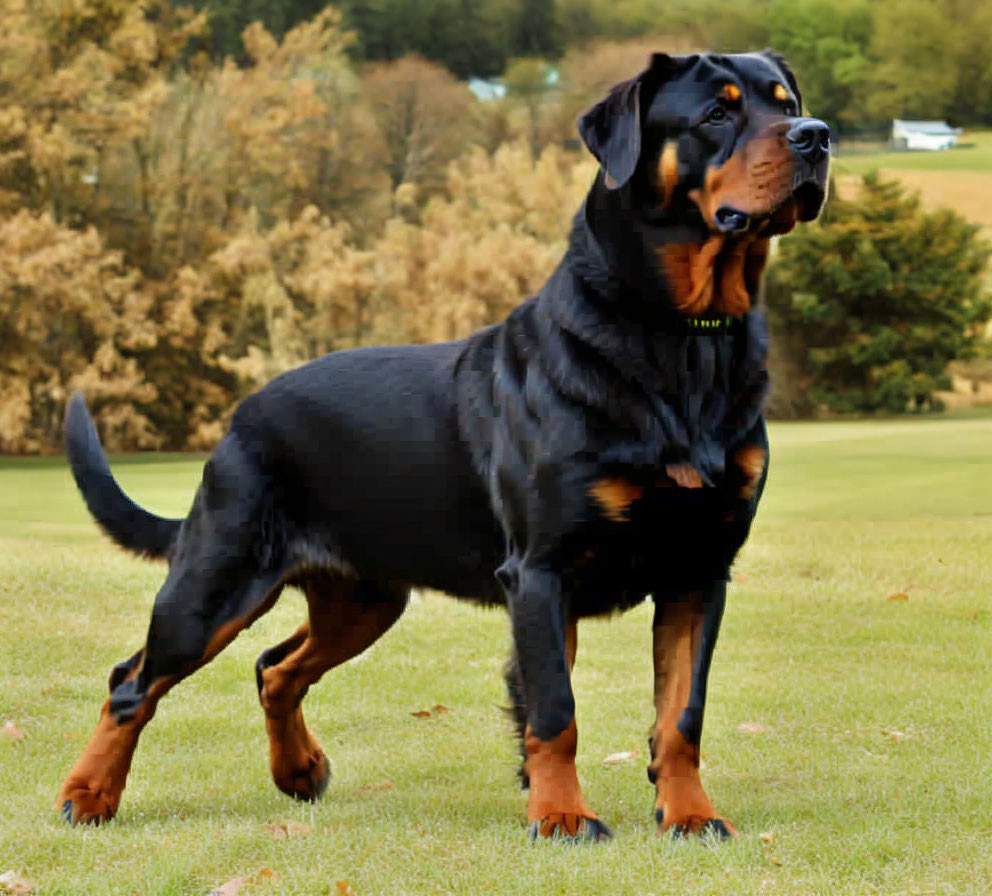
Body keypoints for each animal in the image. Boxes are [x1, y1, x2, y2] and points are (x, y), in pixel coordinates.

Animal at [54, 52, 828, 840]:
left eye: (786, 102)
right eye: (717, 113)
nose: (816, 135)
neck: (681, 337)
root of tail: (241, 419)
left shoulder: (698, 567)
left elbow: (680, 713)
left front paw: (690, 815)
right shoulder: (542, 569)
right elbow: (555, 709)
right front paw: (561, 817)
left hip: (363, 596)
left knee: (276, 667)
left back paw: (298, 770)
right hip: (217, 577)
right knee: (135, 680)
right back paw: (87, 794)